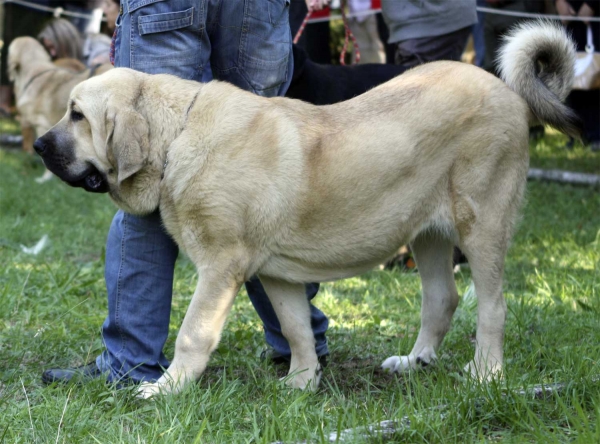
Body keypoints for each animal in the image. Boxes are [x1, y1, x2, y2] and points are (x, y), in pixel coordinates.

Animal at [34, 21, 580, 396]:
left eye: (77, 115)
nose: (38, 145)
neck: (178, 137)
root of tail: (506, 90)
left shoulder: (220, 267)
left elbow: (192, 333)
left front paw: (166, 389)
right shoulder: (276, 273)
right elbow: (296, 327)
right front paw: (301, 381)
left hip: (481, 226)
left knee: (491, 305)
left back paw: (486, 374)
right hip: (427, 234)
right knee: (441, 299)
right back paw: (414, 361)